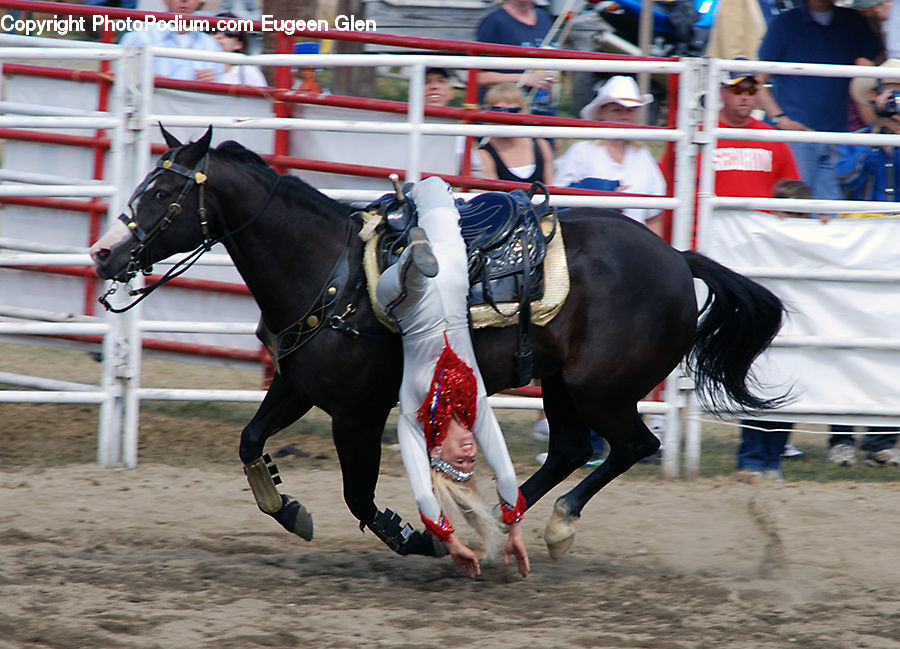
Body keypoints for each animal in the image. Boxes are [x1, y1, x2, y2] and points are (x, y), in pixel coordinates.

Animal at [90, 127, 787, 560]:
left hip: (602, 390)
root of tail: (677, 258)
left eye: (163, 193)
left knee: (632, 446)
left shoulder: (357, 411)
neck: (329, 269)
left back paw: (550, 526)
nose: (103, 254)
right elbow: (251, 440)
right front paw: (288, 509)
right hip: (561, 383)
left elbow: (359, 493)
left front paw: (415, 537)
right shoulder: (297, 385)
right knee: (568, 448)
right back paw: (500, 524)